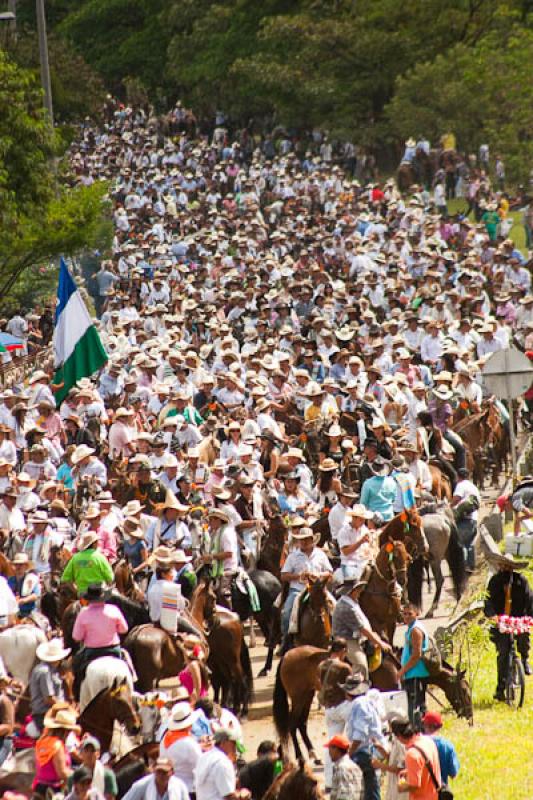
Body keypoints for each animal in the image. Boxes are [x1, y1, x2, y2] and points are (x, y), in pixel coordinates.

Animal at [190, 580, 252, 716]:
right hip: (223, 660)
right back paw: (232, 706)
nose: (214, 619)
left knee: (240, 679)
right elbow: (218, 682)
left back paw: (241, 709)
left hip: (232, 659)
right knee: (230, 680)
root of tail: (236, 619)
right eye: (213, 598)